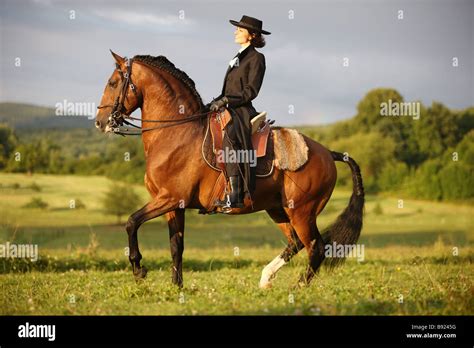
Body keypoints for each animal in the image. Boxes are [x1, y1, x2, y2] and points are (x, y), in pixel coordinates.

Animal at [94, 49, 364, 288]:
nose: (100, 122)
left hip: (302, 212)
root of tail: (328, 153)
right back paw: (266, 279)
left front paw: (139, 269)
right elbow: (176, 246)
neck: (176, 133)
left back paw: (297, 288)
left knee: (316, 247)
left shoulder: (169, 198)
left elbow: (131, 222)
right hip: (278, 208)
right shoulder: (173, 205)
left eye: (113, 82)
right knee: (296, 242)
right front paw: (177, 287)